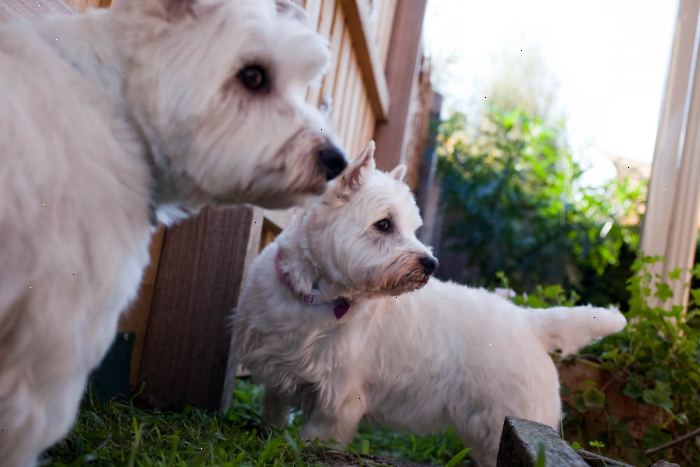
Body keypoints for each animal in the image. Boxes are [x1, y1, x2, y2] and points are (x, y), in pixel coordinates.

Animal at [232, 143, 628, 467]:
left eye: (413, 226)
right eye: (384, 224)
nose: (430, 264)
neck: (316, 296)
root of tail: (528, 322)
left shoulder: (337, 398)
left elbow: (316, 439)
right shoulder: (277, 374)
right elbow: (273, 416)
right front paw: (269, 441)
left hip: (511, 422)